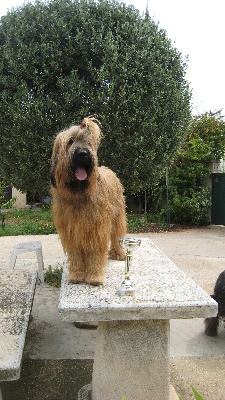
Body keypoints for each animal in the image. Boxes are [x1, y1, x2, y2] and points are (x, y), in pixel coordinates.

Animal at [50, 117, 126, 286]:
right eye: (70, 141)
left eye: (88, 143)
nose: (83, 154)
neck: (79, 193)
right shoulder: (70, 231)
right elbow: (76, 254)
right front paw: (76, 274)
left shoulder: (97, 228)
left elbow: (96, 252)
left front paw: (95, 276)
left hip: (118, 215)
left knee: (116, 235)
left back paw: (118, 252)